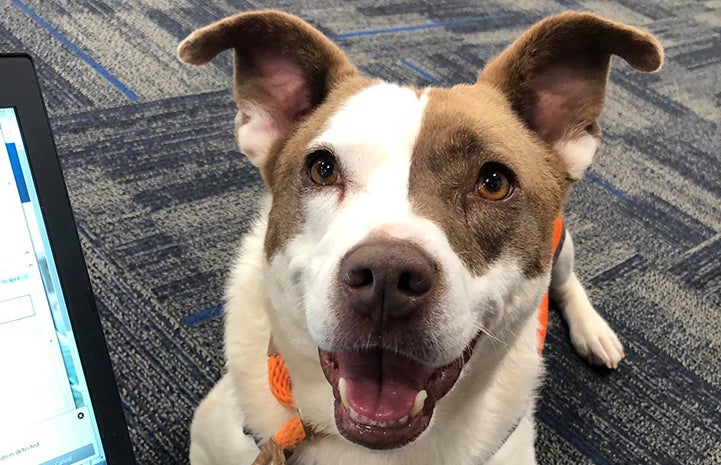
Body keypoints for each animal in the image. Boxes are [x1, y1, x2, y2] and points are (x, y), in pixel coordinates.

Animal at [177, 10, 660, 464]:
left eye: (494, 182)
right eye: (323, 168)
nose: (387, 277)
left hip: (563, 245)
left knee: (566, 281)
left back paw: (594, 332)